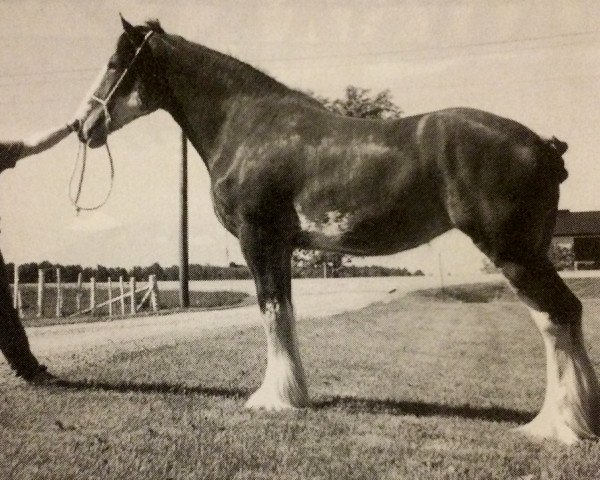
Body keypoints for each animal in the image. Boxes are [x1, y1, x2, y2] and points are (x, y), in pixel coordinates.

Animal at [76, 16, 600, 444]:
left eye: (115, 62)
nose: (83, 125)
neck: (247, 126)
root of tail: (543, 145)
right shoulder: (282, 247)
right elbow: (285, 311)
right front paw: (295, 395)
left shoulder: (258, 239)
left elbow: (271, 312)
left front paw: (273, 399)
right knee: (563, 316)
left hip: (514, 253)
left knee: (556, 316)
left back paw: (558, 427)